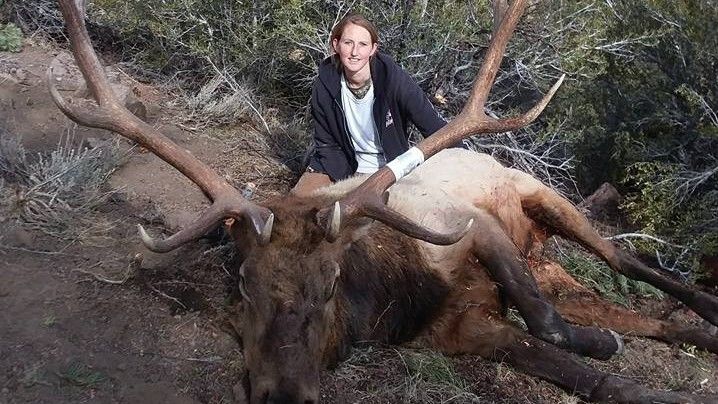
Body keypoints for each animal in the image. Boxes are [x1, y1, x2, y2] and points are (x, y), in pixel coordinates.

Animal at [49, 0, 718, 403]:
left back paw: (700, 305)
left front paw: (605, 347)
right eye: (243, 284)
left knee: (627, 263)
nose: (283, 395)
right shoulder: (461, 330)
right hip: (553, 264)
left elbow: (549, 323)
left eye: (329, 285)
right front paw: (615, 359)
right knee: (647, 315)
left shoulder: (470, 226)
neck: (391, 294)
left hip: (541, 197)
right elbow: (585, 372)